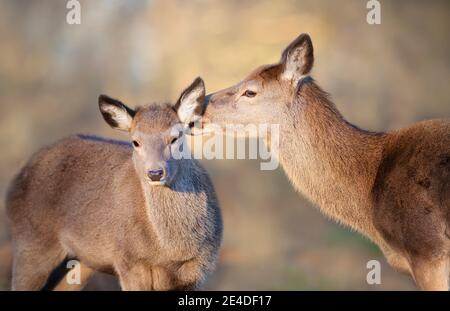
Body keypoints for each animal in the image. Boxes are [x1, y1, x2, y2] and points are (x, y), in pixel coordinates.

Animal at [6, 78, 224, 292]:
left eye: (175, 137)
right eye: (135, 141)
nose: (155, 173)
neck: (173, 252)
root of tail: (14, 183)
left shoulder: (199, 271)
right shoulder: (130, 261)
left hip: (82, 260)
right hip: (31, 243)